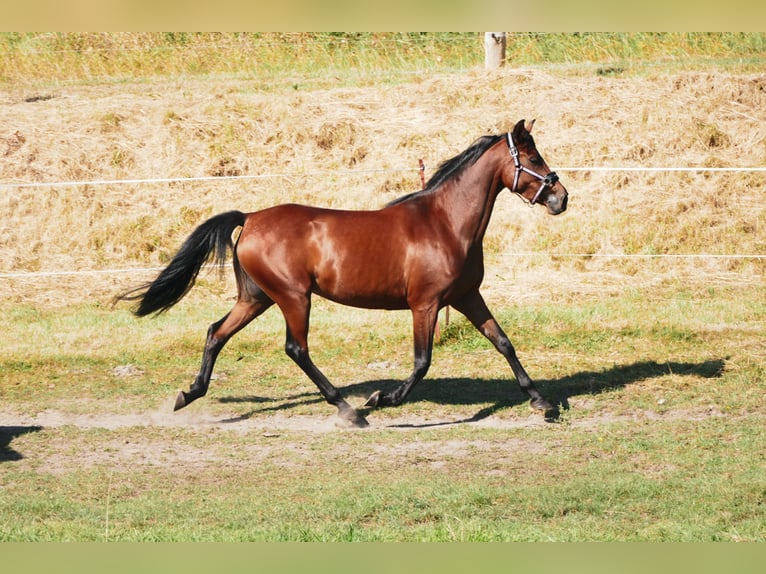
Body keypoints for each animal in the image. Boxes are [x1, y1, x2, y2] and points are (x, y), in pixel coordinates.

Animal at [115, 120, 568, 428]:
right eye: (532, 159)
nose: (561, 197)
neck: (445, 223)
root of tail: (251, 218)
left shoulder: (467, 296)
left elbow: (503, 342)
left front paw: (542, 402)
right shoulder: (425, 304)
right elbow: (422, 362)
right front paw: (382, 399)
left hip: (257, 298)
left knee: (216, 333)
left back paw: (188, 394)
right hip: (293, 297)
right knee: (296, 349)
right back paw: (349, 409)